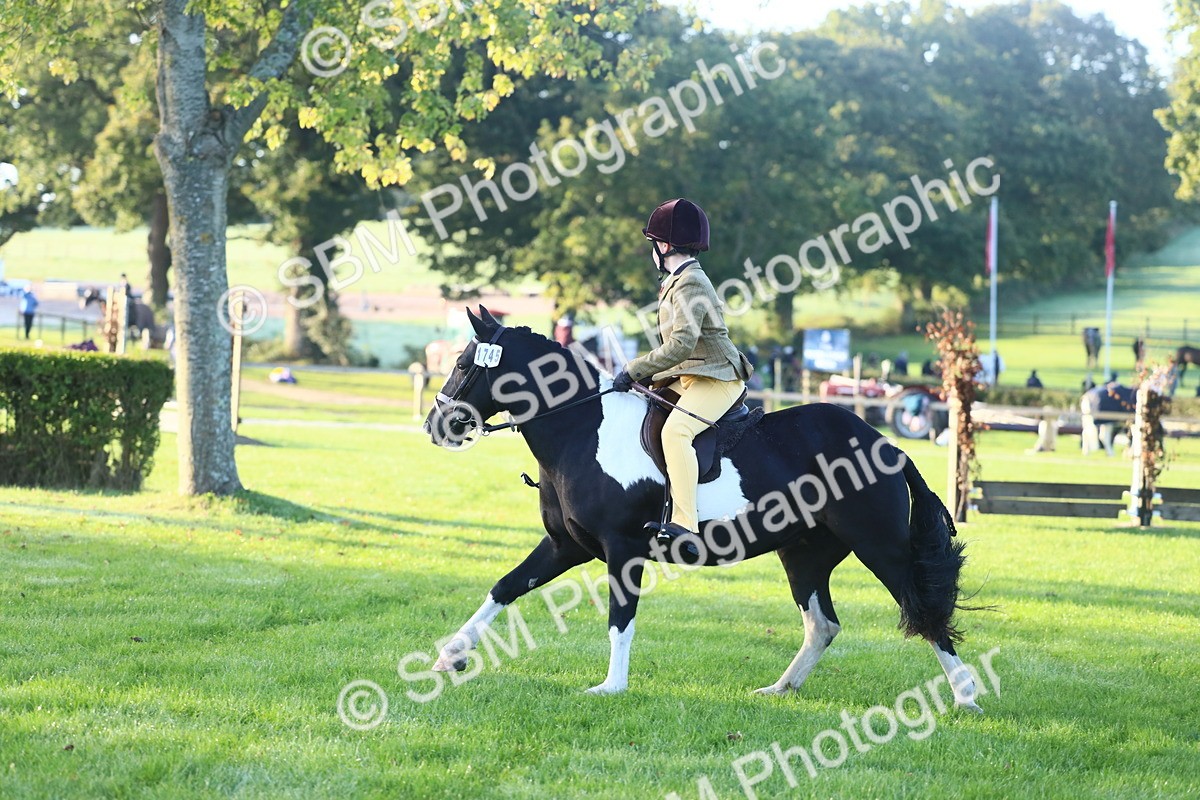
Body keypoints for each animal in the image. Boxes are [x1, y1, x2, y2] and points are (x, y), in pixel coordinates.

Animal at [422, 307, 984, 709]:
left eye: (462, 364)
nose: (435, 426)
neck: (582, 428)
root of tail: (885, 444)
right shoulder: (565, 545)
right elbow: (505, 587)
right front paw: (451, 656)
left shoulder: (623, 548)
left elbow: (620, 617)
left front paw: (611, 687)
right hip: (804, 552)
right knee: (822, 625)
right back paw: (780, 690)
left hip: (879, 544)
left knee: (924, 609)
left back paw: (965, 696)